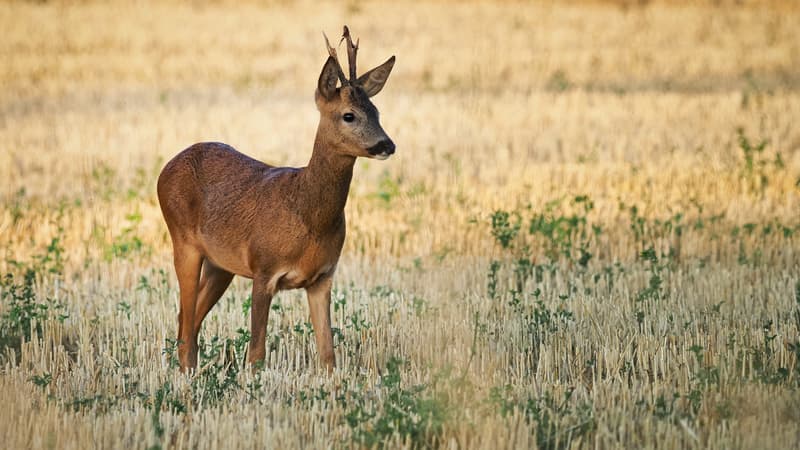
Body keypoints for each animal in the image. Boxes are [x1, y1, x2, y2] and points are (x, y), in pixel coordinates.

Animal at [155, 26, 394, 374]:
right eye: (349, 115)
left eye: (376, 112)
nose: (387, 145)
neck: (308, 215)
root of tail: (166, 167)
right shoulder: (264, 269)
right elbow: (256, 354)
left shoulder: (323, 277)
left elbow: (328, 355)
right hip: (182, 241)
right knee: (185, 323)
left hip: (220, 264)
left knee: (188, 318)